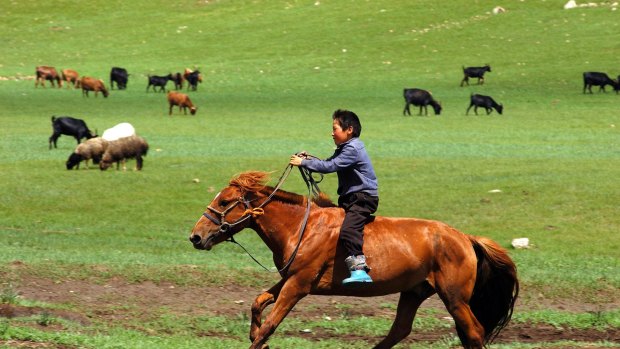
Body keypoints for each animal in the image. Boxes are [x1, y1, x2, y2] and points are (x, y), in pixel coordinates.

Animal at [189, 171, 520, 348]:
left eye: (224, 201)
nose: (195, 237)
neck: (303, 227)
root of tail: (465, 237)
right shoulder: (289, 278)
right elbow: (258, 302)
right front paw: (254, 331)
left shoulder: (298, 285)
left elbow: (271, 323)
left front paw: (261, 337)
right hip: (414, 291)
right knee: (400, 330)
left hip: (454, 298)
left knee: (474, 332)